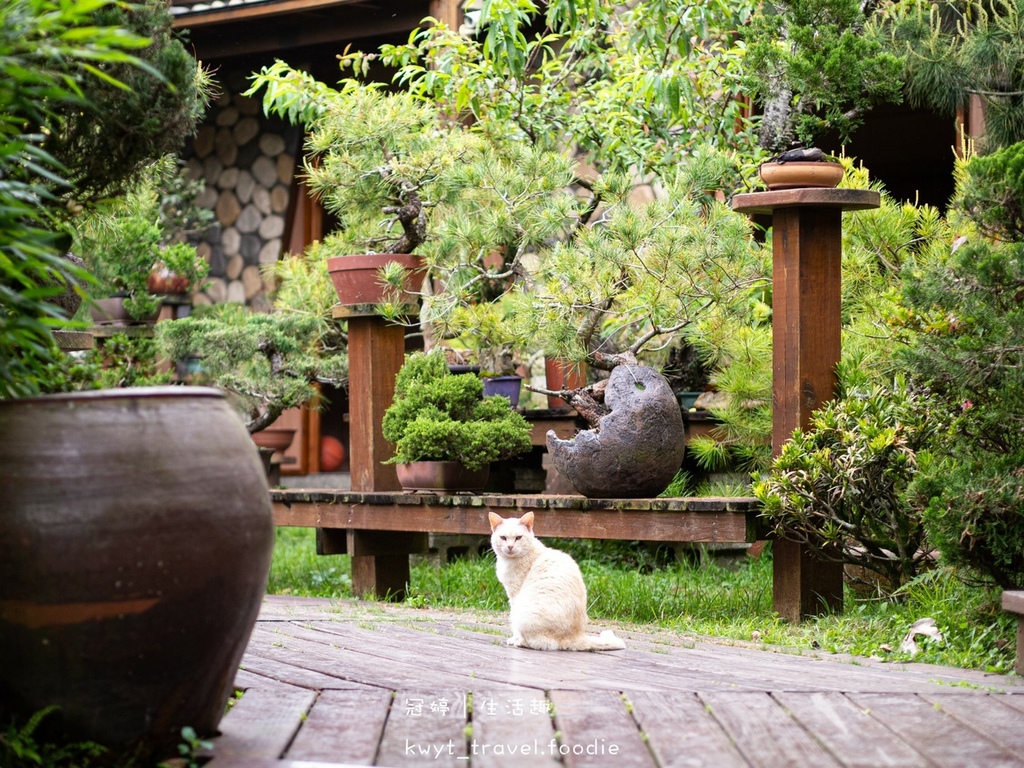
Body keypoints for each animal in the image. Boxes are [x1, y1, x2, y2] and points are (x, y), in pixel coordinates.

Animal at [485, 514, 622, 651]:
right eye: (503, 538)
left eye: (518, 538)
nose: (510, 547)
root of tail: (578, 636)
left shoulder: (514, 595)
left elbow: (515, 628)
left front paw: (514, 639)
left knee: (541, 643)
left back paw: (519, 642)